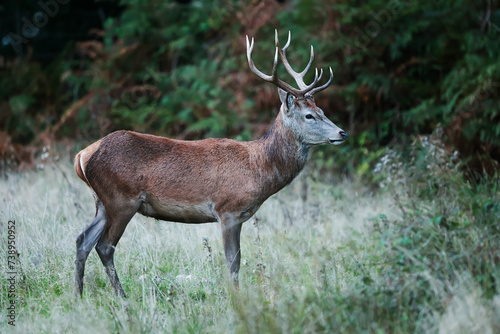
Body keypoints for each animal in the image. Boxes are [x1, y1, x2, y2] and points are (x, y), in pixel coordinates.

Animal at [75, 30, 348, 298]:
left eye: (322, 111)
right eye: (309, 115)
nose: (342, 133)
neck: (258, 170)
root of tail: (82, 155)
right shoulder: (227, 209)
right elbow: (233, 262)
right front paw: (236, 300)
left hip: (102, 202)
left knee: (82, 240)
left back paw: (78, 296)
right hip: (121, 199)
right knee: (104, 246)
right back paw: (121, 297)